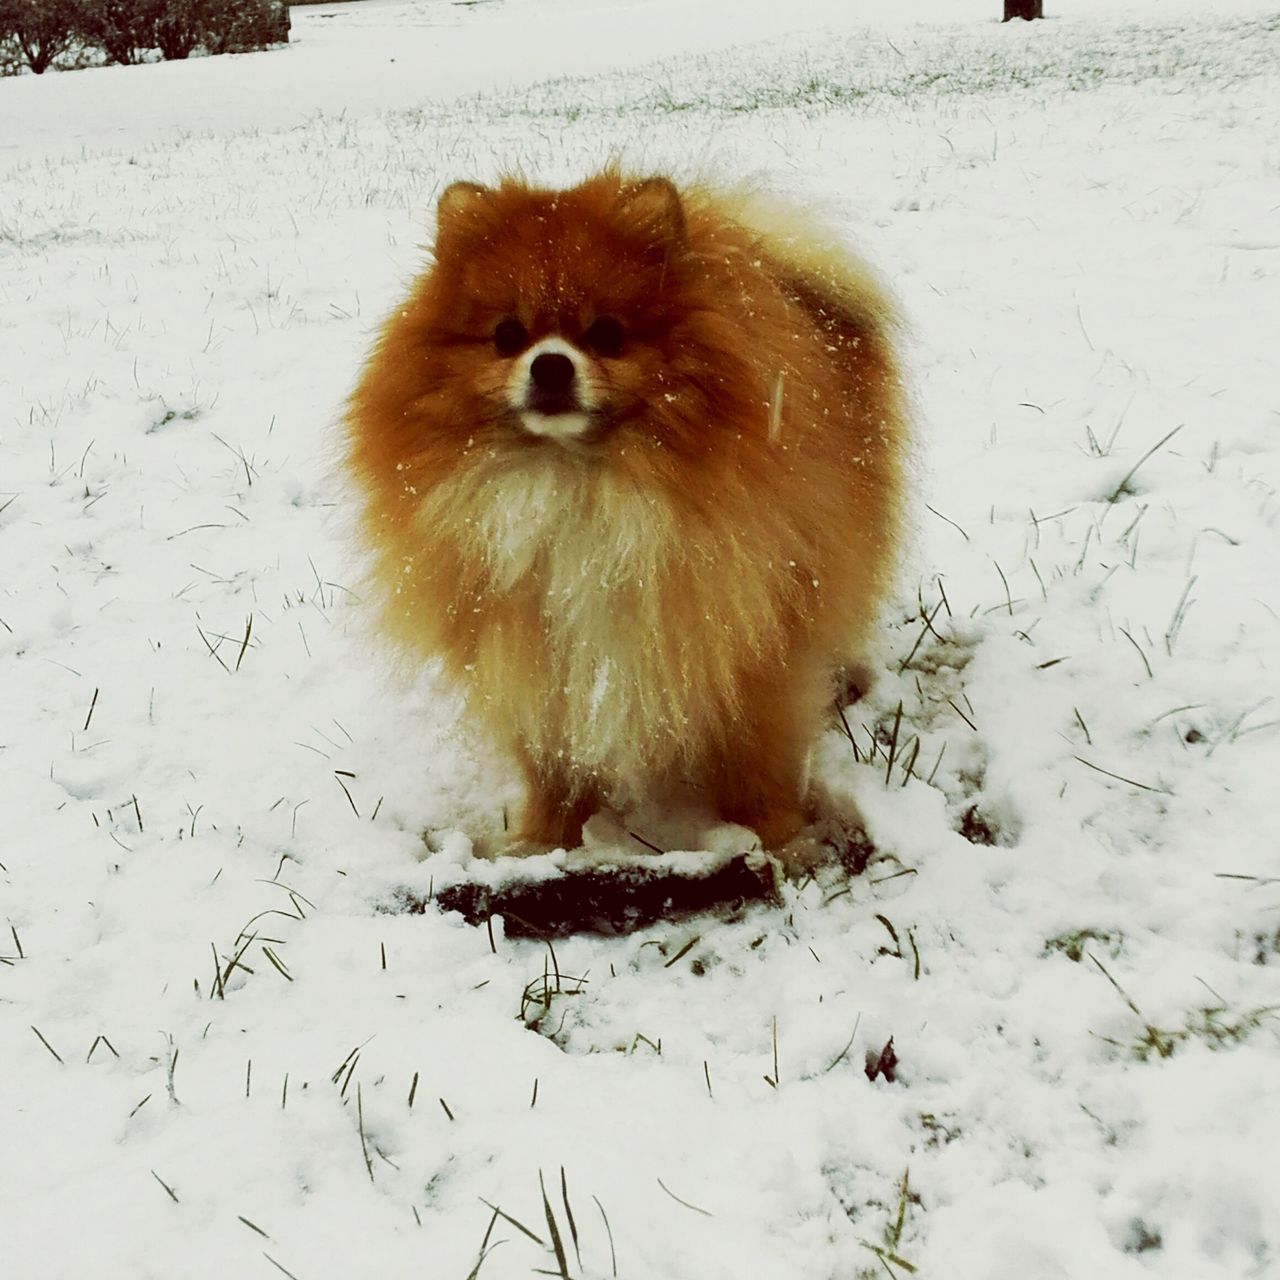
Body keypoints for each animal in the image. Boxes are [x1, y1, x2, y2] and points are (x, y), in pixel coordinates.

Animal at [348, 167, 911, 860]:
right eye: (507, 335)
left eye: (607, 335)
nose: (551, 365)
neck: (574, 482)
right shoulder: (536, 657)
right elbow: (552, 763)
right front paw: (547, 842)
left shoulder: (748, 648)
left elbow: (756, 762)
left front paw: (775, 840)